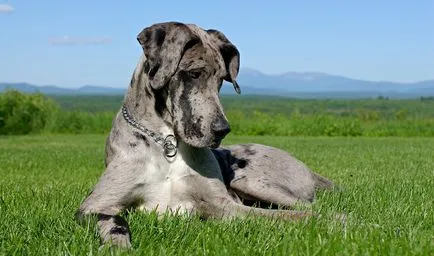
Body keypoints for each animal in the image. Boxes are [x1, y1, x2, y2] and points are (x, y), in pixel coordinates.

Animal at [76, 21, 334, 249]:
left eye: (222, 80)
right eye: (194, 74)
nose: (222, 130)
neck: (167, 145)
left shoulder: (225, 206)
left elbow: (290, 216)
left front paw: (336, 221)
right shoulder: (94, 205)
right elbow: (115, 221)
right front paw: (117, 245)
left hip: (250, 181)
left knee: (308, 206)